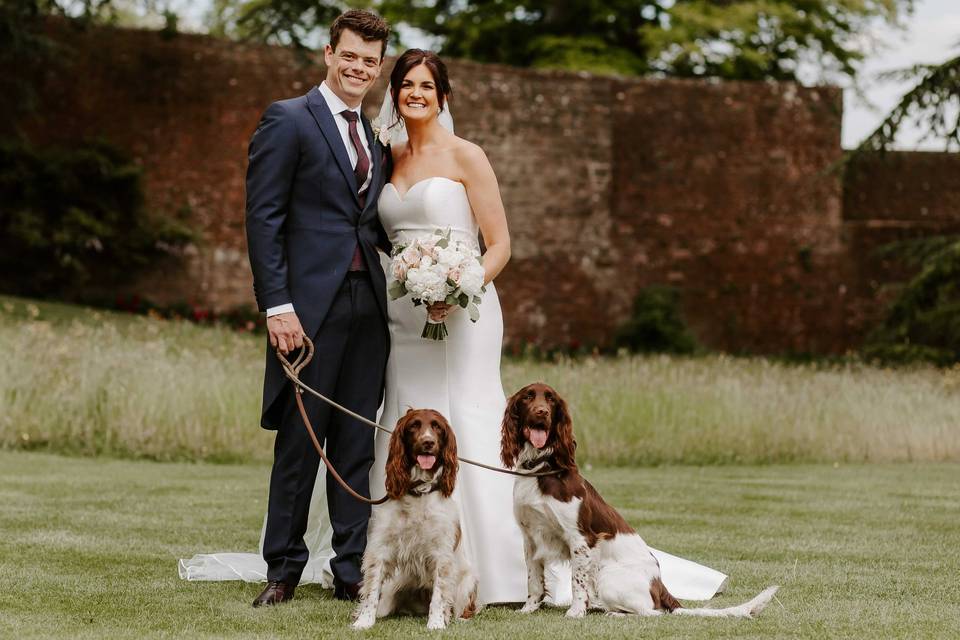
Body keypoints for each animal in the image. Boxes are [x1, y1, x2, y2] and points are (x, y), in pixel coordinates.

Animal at [350, 410, 478, 632]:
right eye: (414, 426)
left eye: (437, 427)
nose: (428, 442)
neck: (418, 491)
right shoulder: (380, 548)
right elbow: (371, 590)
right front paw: (364, 621)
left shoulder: (442, 555)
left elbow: (439, 595)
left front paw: (436, 623)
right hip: (392, 592)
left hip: (467, 582)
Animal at [502, 384, 780, 620]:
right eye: (528, 397)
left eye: (550, 399)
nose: (542, 412)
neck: (540, 468)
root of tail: (661, 587)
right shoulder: (530, 538)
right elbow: (534, 580)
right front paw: (528, 608)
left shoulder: (580, 539)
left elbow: (576, 581)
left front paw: (575, 612)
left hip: (608, 577)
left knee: (652, 612)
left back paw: (613, 614)